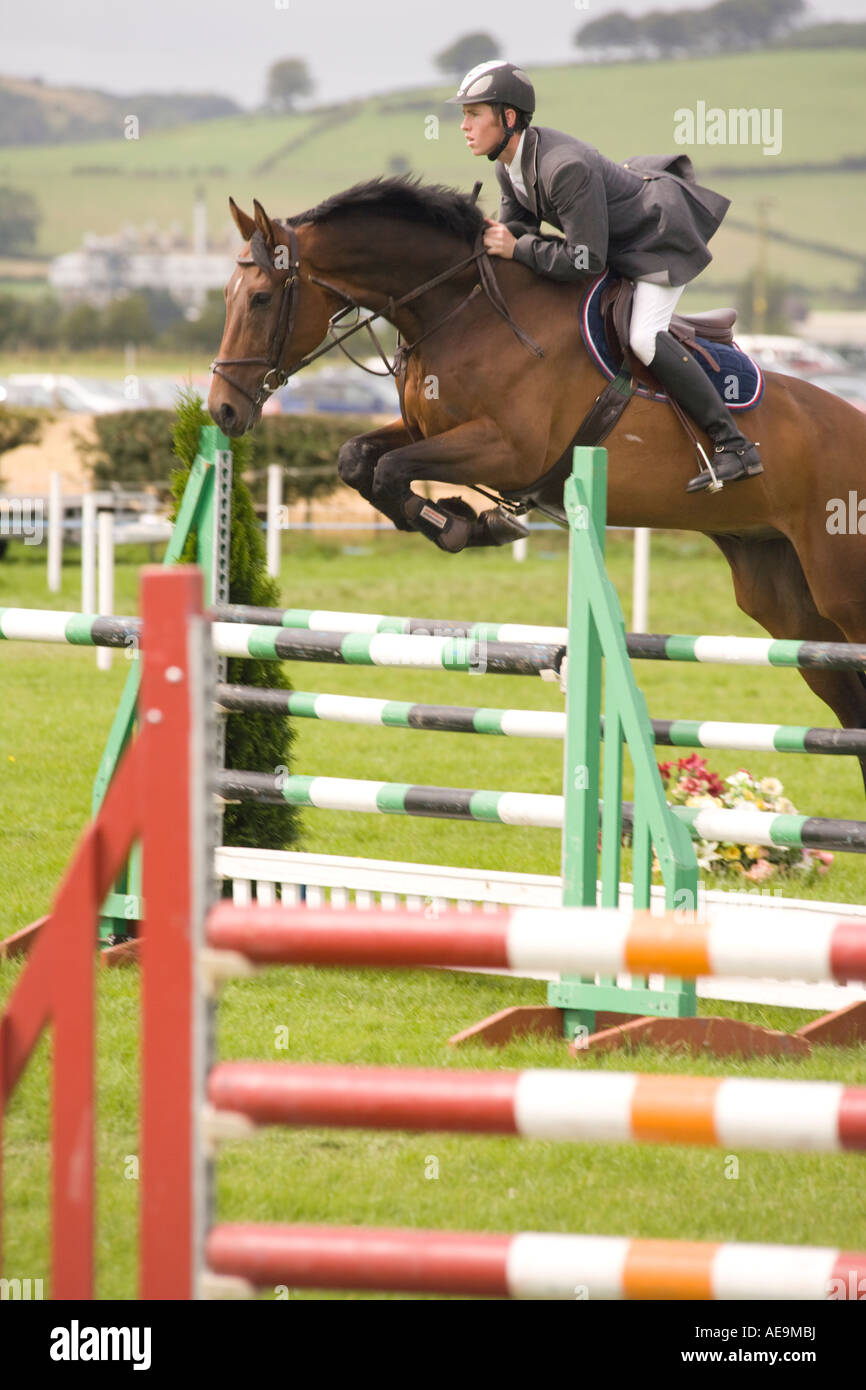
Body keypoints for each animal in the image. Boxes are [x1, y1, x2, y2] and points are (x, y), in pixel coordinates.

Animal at [208, 176, 866, 790]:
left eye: (261, 298)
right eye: (228, 296)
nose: (222, 411)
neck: (461, 309)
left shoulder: (508, 449)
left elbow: (392, 471)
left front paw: (465, 524)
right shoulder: (424, 429)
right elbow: (356, 461)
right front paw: (468, 519)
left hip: (841, 587)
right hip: (785, 601)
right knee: (847, 705)